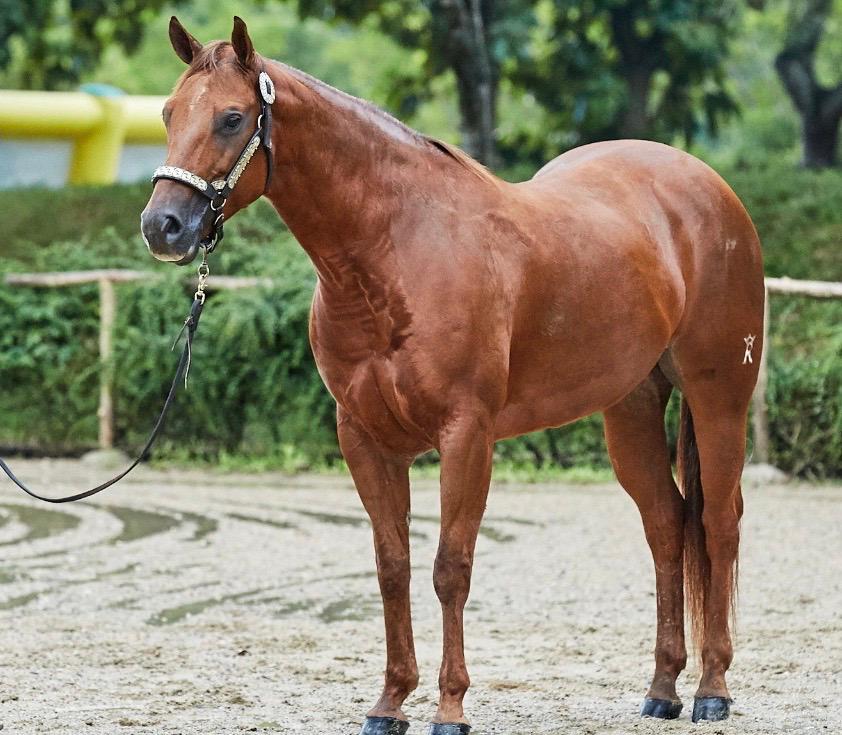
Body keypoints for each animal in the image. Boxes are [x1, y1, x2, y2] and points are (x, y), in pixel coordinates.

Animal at [141, 17, 764, 733]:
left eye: (232, 117)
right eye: (168, 113)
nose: (162, 226)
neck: (397, 250)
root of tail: (707, 187)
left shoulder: (466, 435)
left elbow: (450, 568)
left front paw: (450, 706)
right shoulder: (364, 439)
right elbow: (392, 567)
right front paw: (388, 703)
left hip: (720, 397)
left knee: (717, 523)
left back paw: (712, 689)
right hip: (631, 407)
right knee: (667, 525)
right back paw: (662, 688)